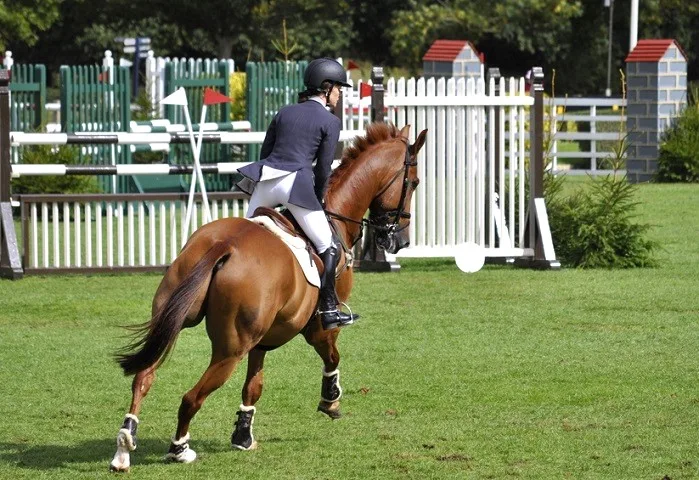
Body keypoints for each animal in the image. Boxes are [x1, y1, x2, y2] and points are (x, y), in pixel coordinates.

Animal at [110, 122, 426, 470]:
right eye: (413, 182)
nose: (400, 242)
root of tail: (225, 245)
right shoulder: (320, 329)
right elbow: (332, 357)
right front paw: (330, 400)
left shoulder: (261, 341)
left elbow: (253, 387)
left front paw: (243, 436)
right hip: (230, 351)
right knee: (191, 397)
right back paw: (179, 449)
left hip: (177, 317)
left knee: (143, 377)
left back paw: (125, 446)